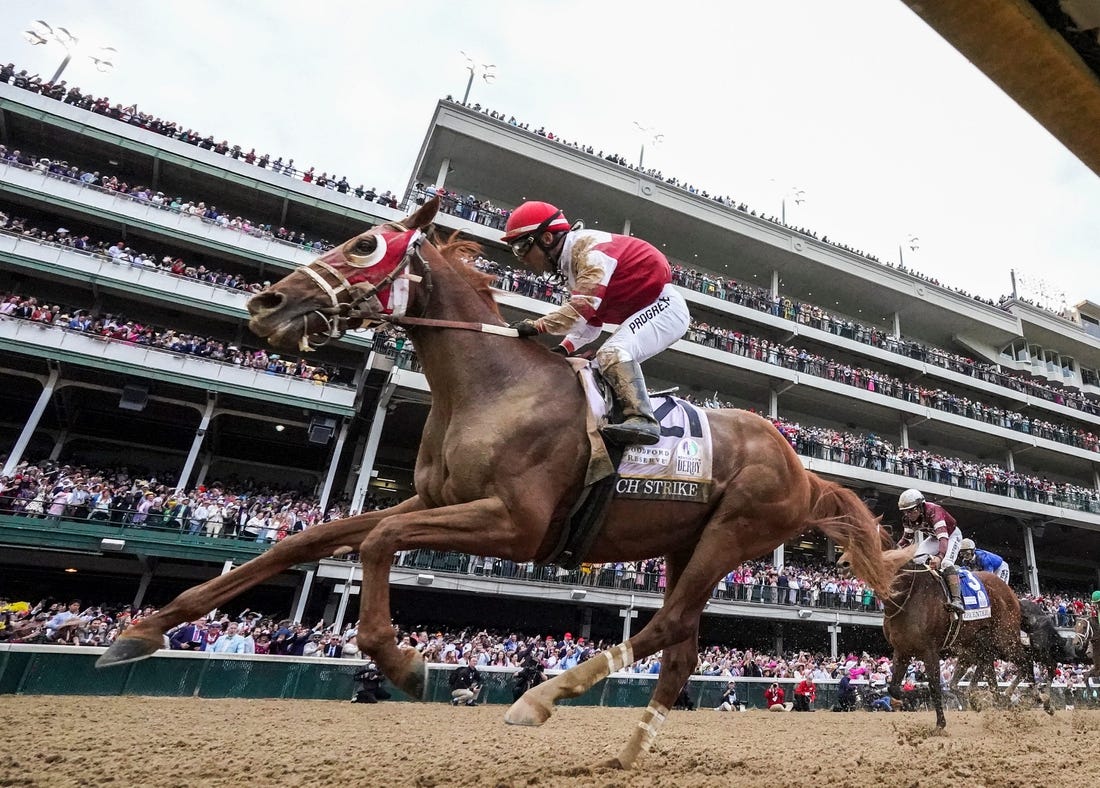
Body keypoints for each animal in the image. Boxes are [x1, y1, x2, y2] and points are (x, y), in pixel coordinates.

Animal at [99, 198, 897, 770]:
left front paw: (402, 661)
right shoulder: (439, 498)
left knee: (666, 626)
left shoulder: (517, 524)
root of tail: (802, 464)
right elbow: (312, 539)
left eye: (365, 246)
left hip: (734, 534)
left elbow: (381, 541)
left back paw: (540, 699)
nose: (264, 304)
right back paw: (626, 752)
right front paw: (143, 628)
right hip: (687, 542)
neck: (491, 386)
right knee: (680, 650)